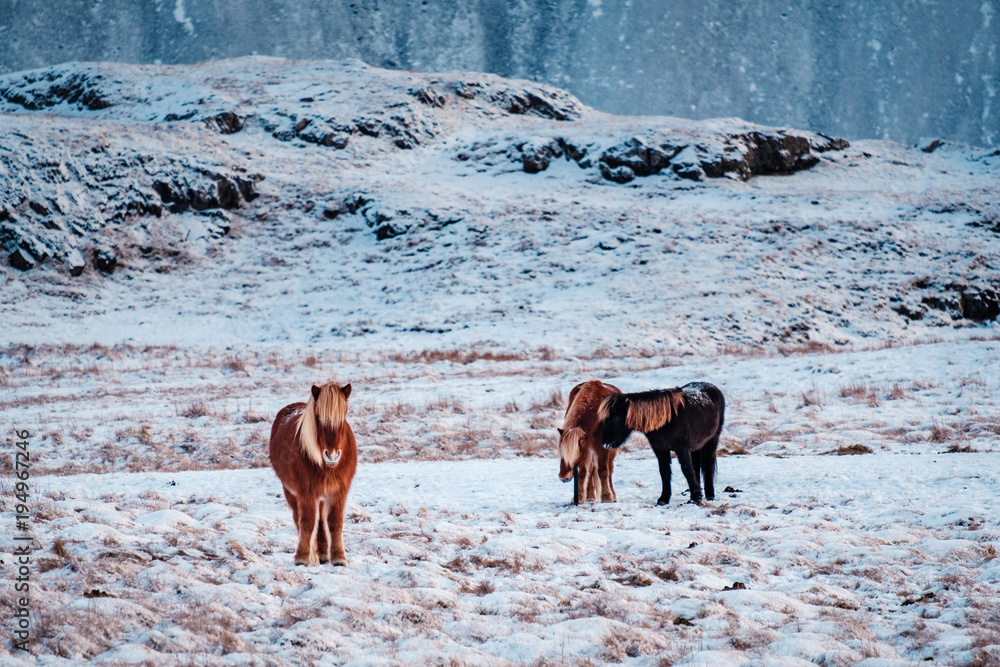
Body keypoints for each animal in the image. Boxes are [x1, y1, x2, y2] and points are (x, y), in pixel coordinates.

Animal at [269, 382, 358, 566]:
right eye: (318, 416)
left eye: (344, 415)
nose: (332, 455)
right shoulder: (306, 493)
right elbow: (308, 523)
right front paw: (302, 557)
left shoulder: (339, 492)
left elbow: (335, 522)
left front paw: (339, 557)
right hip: (291, 492)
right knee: (299, 517)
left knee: (322, 521)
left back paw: (323, 553)